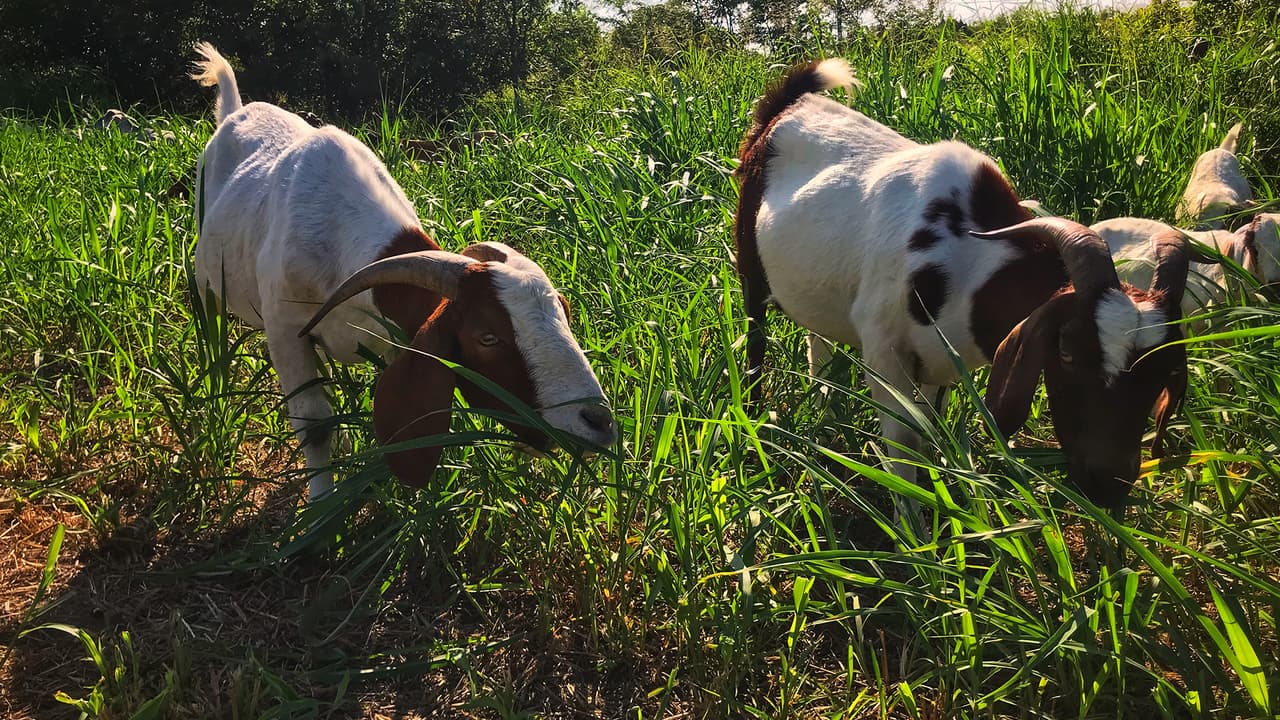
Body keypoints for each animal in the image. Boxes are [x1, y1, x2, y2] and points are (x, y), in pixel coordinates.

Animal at [190, 43, 617, 501]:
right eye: (487, 337)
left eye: (565, 315)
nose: (599, 424)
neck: (338, 230)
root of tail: (235, 110)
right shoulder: (285, 330)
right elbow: (315, 426)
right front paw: (320, 504)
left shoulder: (395, 338)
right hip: (206, 279)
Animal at [734, 59, 1192, 511]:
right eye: (1066, 351)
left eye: (1165, 369)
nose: (1107, 485)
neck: (968, 261)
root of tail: (785, 106)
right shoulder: (884, 347)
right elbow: (904, 442)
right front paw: (912, 523)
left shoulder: (940, 360)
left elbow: (930, 429)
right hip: (750, 269)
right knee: (756, 338)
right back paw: (756, 419)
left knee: (818, 342)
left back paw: (824, 415)